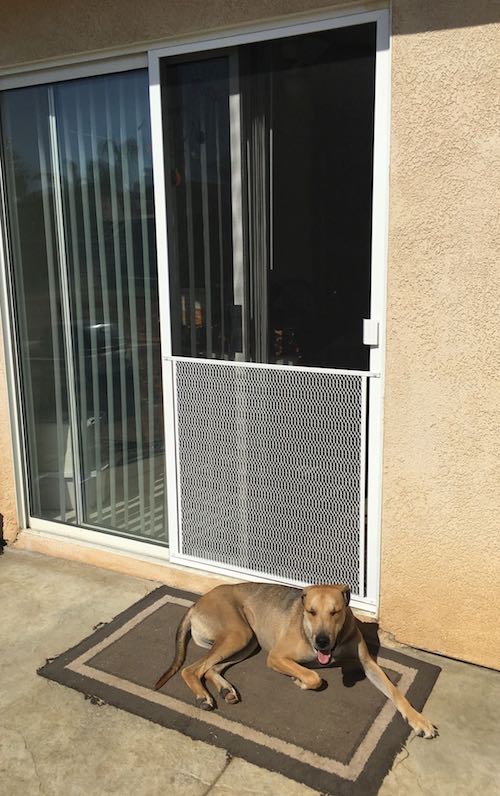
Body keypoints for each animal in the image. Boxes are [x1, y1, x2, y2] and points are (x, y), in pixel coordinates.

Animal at [155, 580, 438, 740]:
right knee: (192, 669)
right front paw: (299, 680)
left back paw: (226, 690)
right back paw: (203, 696)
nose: (322, 642)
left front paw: (419, 720)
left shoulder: (369, 664)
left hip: (248, 641)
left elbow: (395, 692)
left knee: (211, 668)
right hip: (239, 634)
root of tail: (197, 602)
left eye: (335, 612)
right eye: (310, 612)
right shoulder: (276, 656)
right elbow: (314, 677)